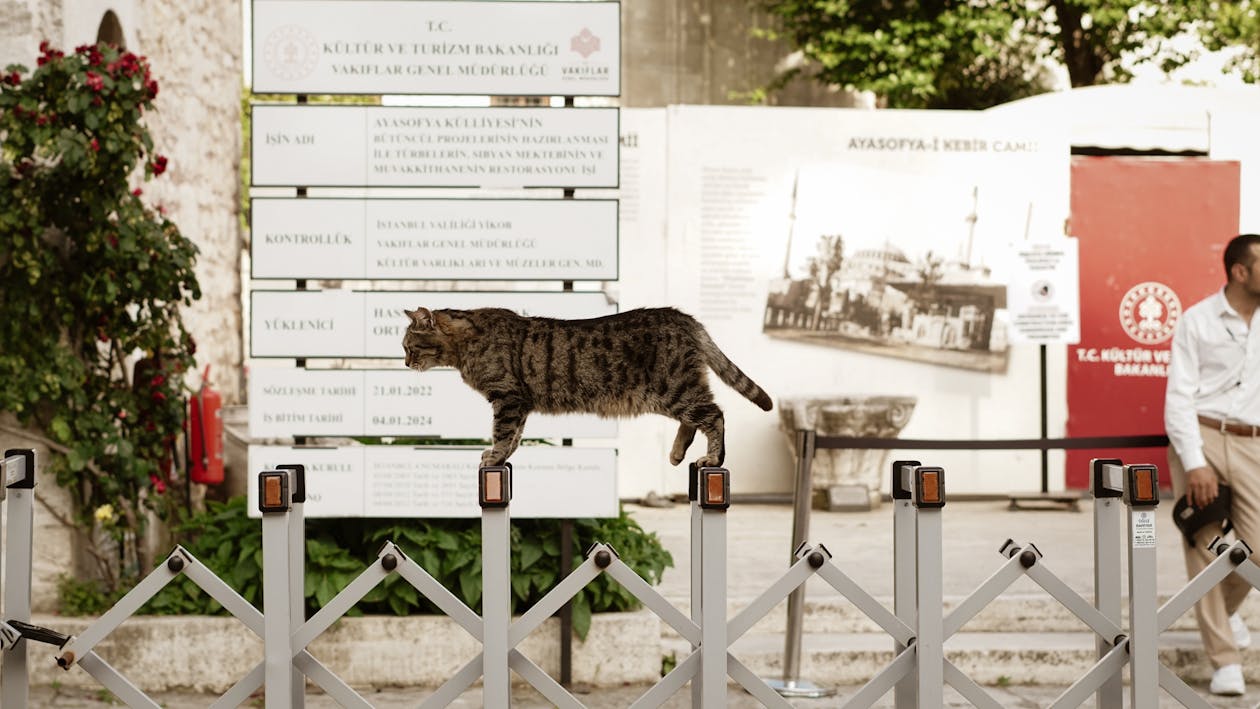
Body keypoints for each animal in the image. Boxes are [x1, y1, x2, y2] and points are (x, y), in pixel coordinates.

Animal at [408, 306, 771, 468]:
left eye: (409, 346)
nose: (406, 363)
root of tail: (684, 317)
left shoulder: (507, 398)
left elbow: (502, 433)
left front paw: (495, 456)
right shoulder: (519, 403)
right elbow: (514, 437)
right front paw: (503, 456)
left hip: (674, 388)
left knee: (714, 415)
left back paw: (713, 458)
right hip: (676, 391)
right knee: (695, 419)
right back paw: (678, 452)